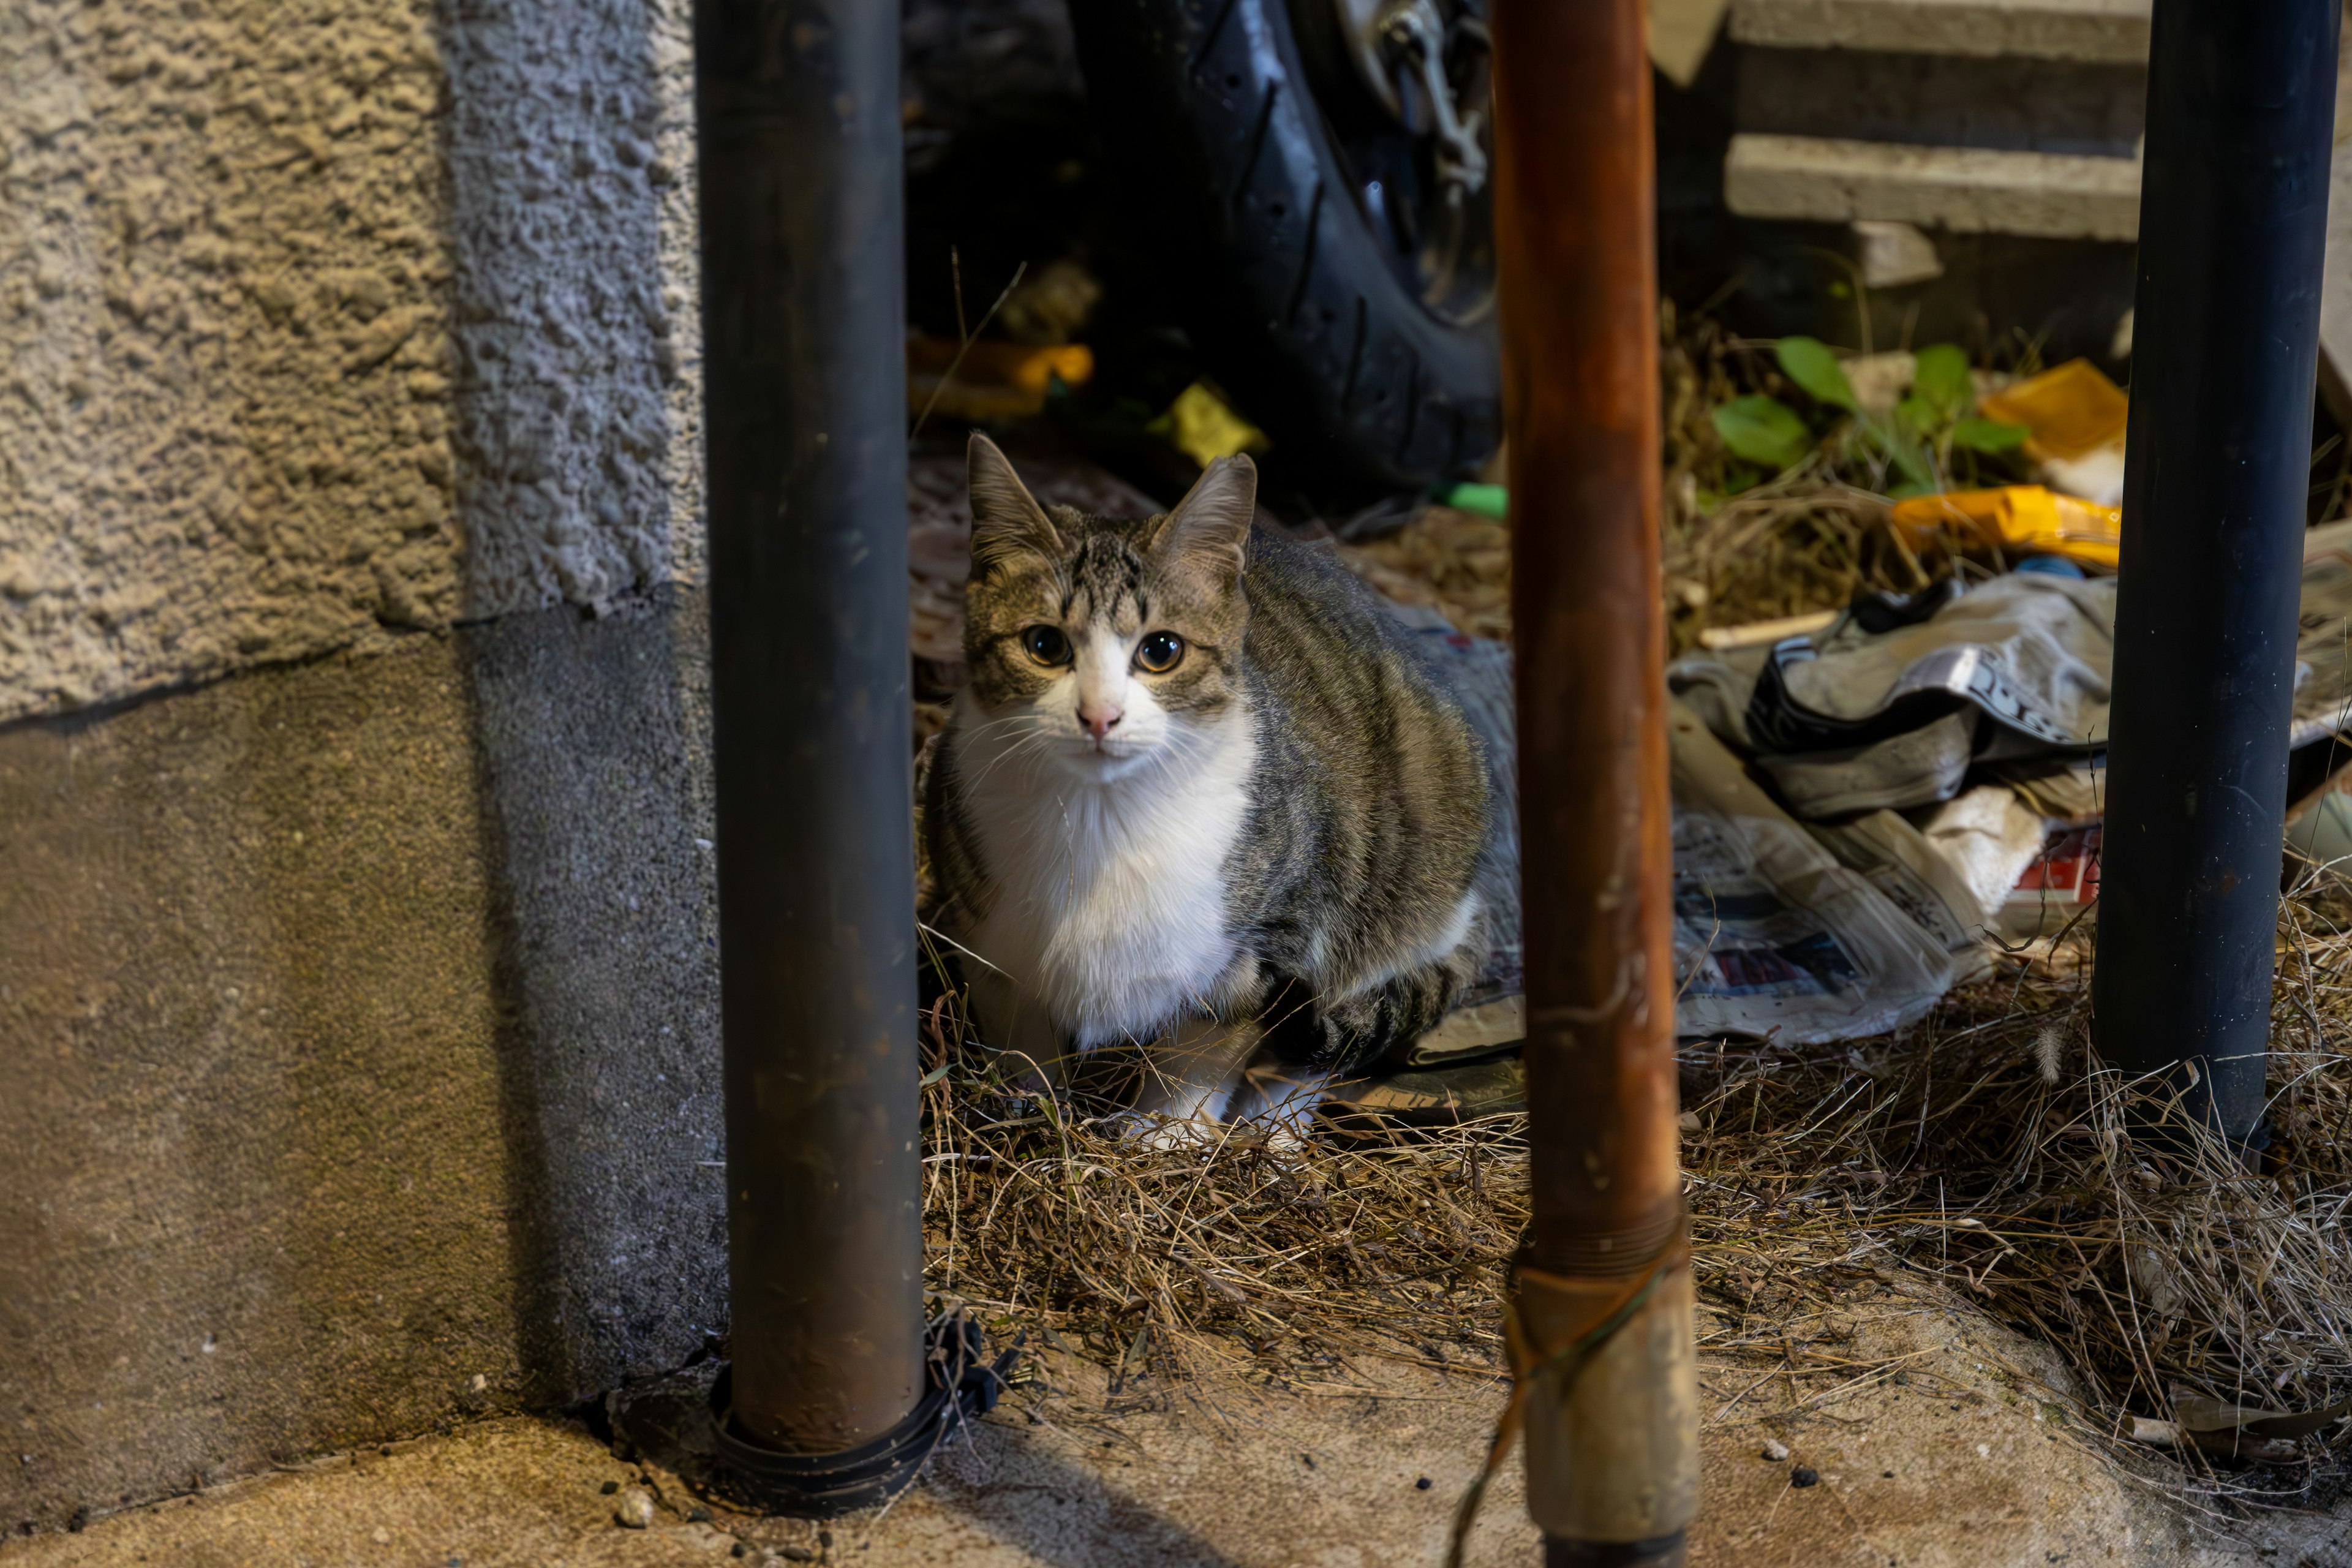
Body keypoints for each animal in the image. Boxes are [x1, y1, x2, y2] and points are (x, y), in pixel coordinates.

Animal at [922, 432, 1486, 1142]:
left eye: (1161, 650)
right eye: (1044, 644)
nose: (1099, 716)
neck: (1102, 815)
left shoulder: (1271, 940)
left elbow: (1207, 1045)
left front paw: (1166, 1132)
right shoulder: (987, 935)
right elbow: (1022, 1033)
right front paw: (1029, 1101)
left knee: (1324, 1039)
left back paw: (1275, 1134)